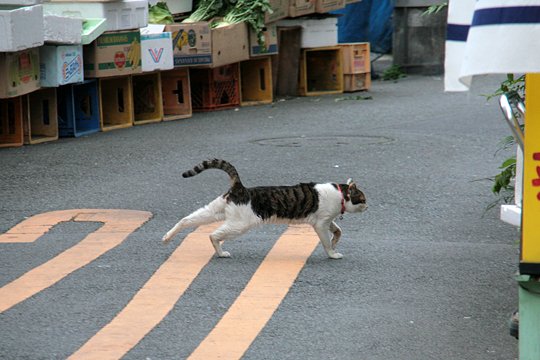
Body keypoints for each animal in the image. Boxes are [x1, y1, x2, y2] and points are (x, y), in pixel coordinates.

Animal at [161, 158, 368, 258]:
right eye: (363, 198)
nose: (368, 206)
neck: (340, 194)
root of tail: (240, 187)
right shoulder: (320, 224)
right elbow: (326, 242)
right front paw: (333, 253)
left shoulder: (328, 221)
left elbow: (338, 231)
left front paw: (335, 241)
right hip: (240, 224)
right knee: (213, 235)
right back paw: (220, 252)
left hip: (215, 210)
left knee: (187, 219)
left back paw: (167, 237)